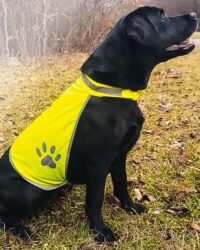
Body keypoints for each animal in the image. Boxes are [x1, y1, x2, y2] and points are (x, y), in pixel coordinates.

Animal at [0, 6, 197, 243]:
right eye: (162, 17)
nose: (194, 15)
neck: (114, 89)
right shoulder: (98, 163)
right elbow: (95, 201)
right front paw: (100, 232)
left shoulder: (119, 156)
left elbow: (122, 185)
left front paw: (130, 207)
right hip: (30, 194)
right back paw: (21, 230)